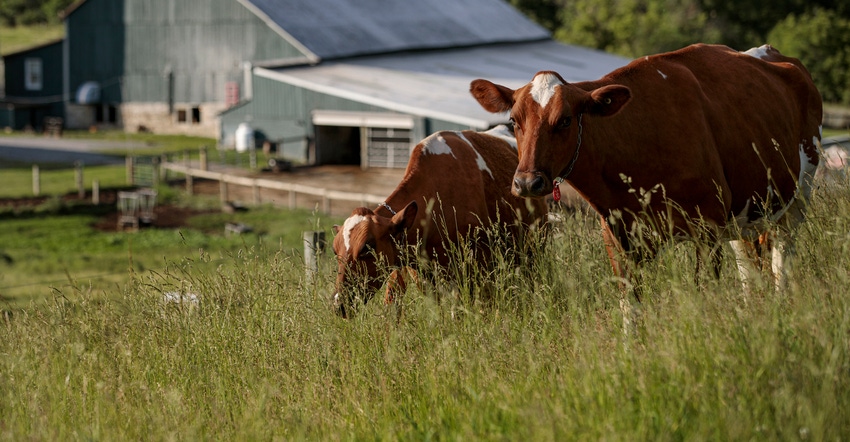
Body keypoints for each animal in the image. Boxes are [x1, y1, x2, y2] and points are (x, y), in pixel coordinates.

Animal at [470, 43, 820, 296]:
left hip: (795, 203)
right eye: (514, 120)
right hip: (743, 216)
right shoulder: (619, 240)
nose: (527, 183)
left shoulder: (707, 230)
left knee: (781, 265)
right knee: (750, 269)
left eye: (565, 120)